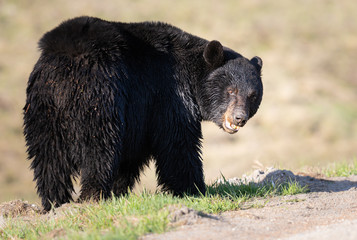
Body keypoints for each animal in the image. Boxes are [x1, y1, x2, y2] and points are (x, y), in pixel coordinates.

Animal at [22, 16, 262, 210]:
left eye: (252, 95)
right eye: (231, 91)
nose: (239, 118)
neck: (190, 76)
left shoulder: (140, 114)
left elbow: (132, 156)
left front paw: (118, 191)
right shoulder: (168, 95)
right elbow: (178, 144)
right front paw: (195, 189)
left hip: (43, 108)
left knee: (49, 158)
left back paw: (54, 202)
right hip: (99, 98)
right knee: (98, 149)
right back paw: (91, 196)